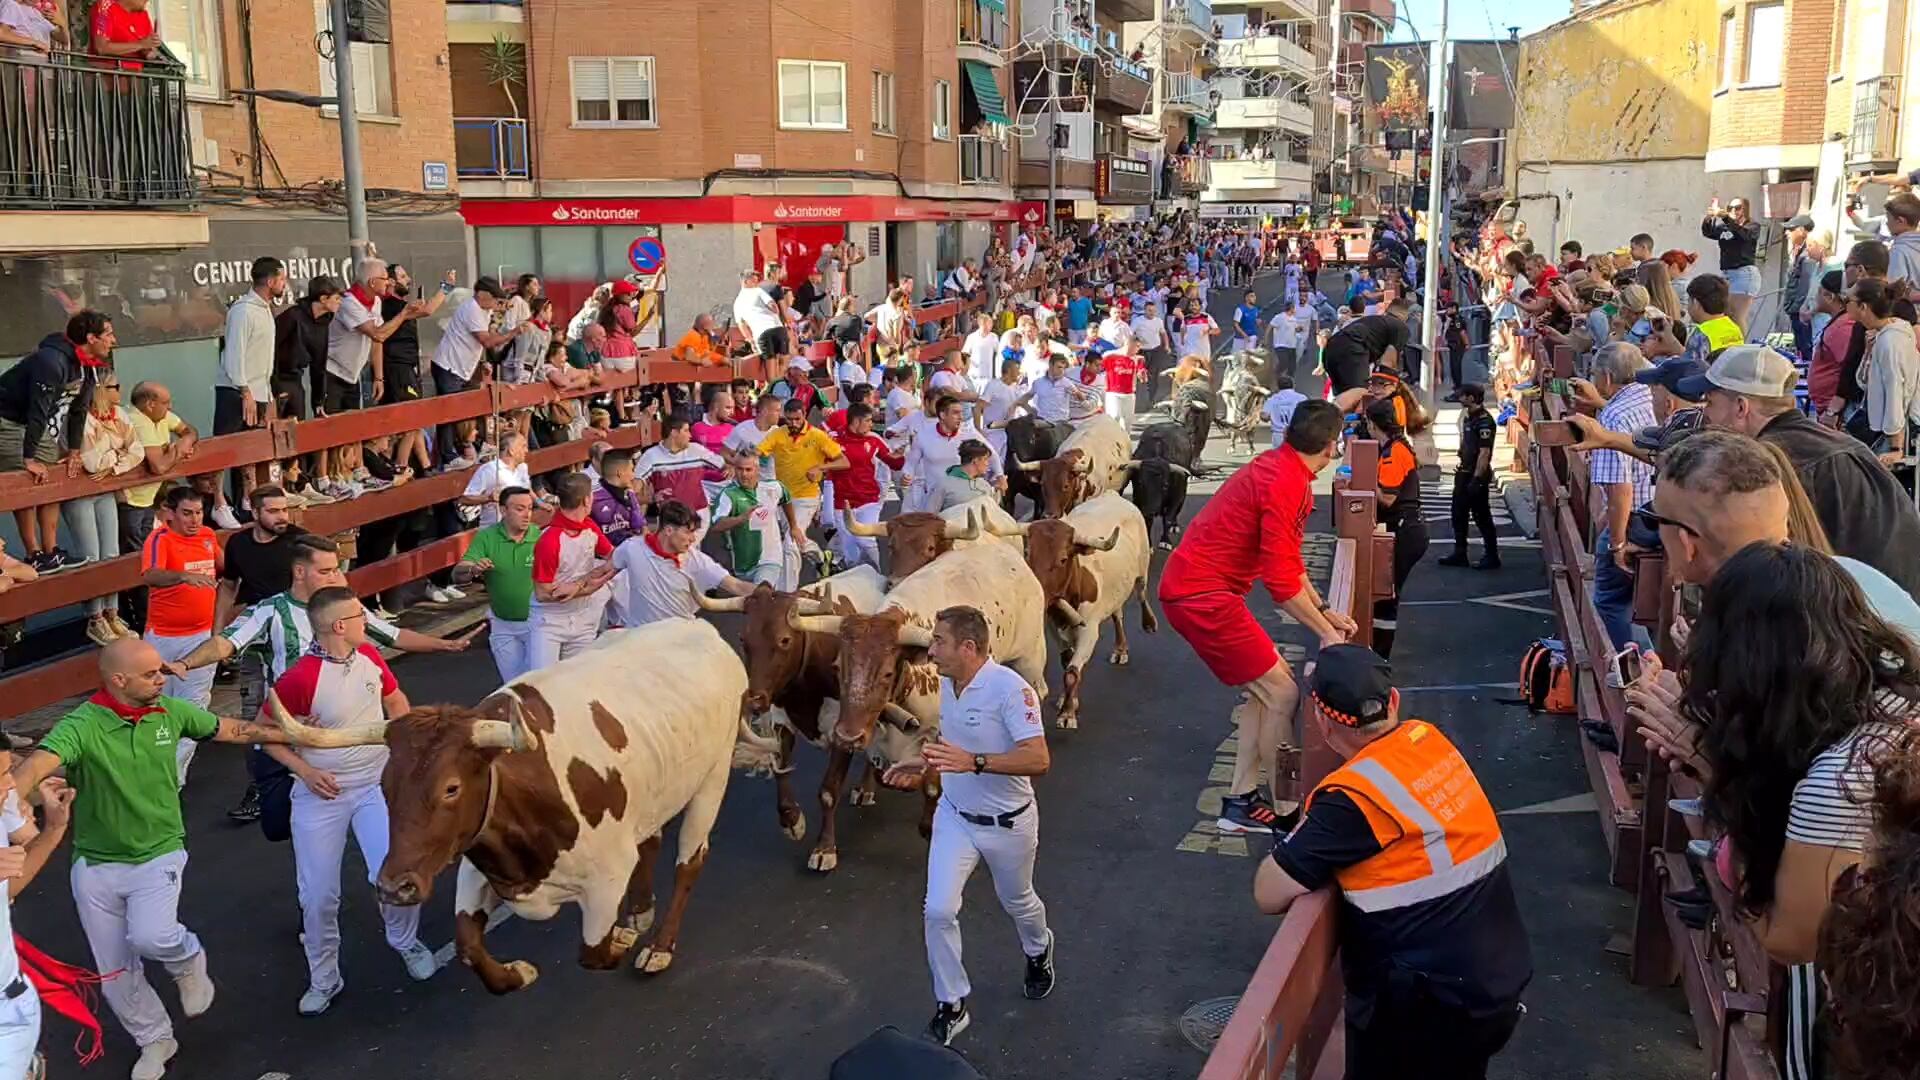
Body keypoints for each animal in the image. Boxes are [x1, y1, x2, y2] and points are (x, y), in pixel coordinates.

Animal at [272, 614, 779, 991]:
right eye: (384, 784)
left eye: (451, 788)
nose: (396, 887)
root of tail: (703, 629)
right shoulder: (480, 863)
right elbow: (467, 946)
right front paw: (517, 972)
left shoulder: (605, 879)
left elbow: (593, 953)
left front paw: (620, 944)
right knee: (651, 840)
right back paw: (638, 913)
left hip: (712, 776)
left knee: (690, 861)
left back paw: (659, 945)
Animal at [695, 568, 933, 868]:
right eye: (742, 638)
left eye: (784, 640)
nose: (754, 699)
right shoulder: (782, 721)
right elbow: (781, 770)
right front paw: (792, 820)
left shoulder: (842, 730)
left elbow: (829, 791)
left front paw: (824, 848)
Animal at [990, 491, 1152, 726]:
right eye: (1028, 554)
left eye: (1063, 559)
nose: (1037, 592)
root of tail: (1113, 495)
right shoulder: (1053, 626)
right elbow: (1067, 662)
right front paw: (1069, 701)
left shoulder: (1089, 631)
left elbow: (1072, 672)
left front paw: (1067, 713)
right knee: (1117, 613)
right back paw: (1120, 648)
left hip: (1142, 569)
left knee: (1141, 595)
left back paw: (1146, 625)